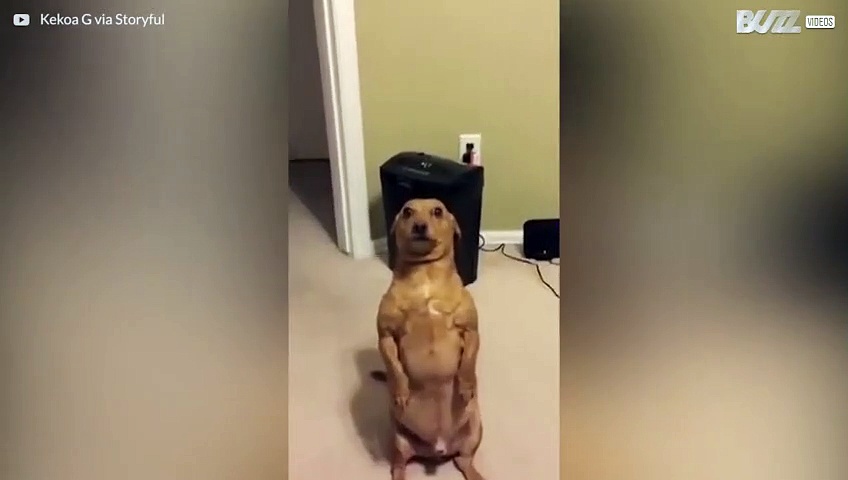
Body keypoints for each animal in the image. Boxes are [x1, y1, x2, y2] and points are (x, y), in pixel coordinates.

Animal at [373, 198, 485, 480]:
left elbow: (468, 362)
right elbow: (394, 367)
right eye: (407, 212)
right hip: (398, 440)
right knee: (398, 466)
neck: (425, 274)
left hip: (475, 430)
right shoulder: (385, 336)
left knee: (464, 461)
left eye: (437, 211)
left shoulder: (471, 330)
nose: (420, 226)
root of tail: (439, 448)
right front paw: (401, 391)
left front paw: (467, 387)